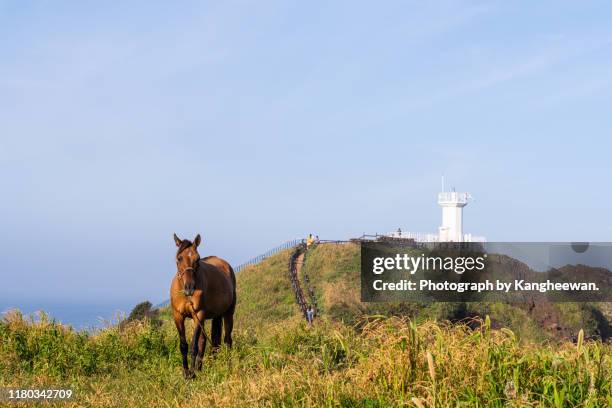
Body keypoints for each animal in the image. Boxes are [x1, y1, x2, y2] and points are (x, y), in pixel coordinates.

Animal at [170, 233, 237, 380]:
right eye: (179, 258)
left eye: (198, 259)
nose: (189, 288)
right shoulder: (178, 316)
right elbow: (184, 346)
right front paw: (186, 373)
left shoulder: (198, 315)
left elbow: (194, 346)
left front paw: (192, 373)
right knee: (207, 342)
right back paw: (201, 368)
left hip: (227, 314)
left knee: (227, 340)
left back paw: (228, 365)